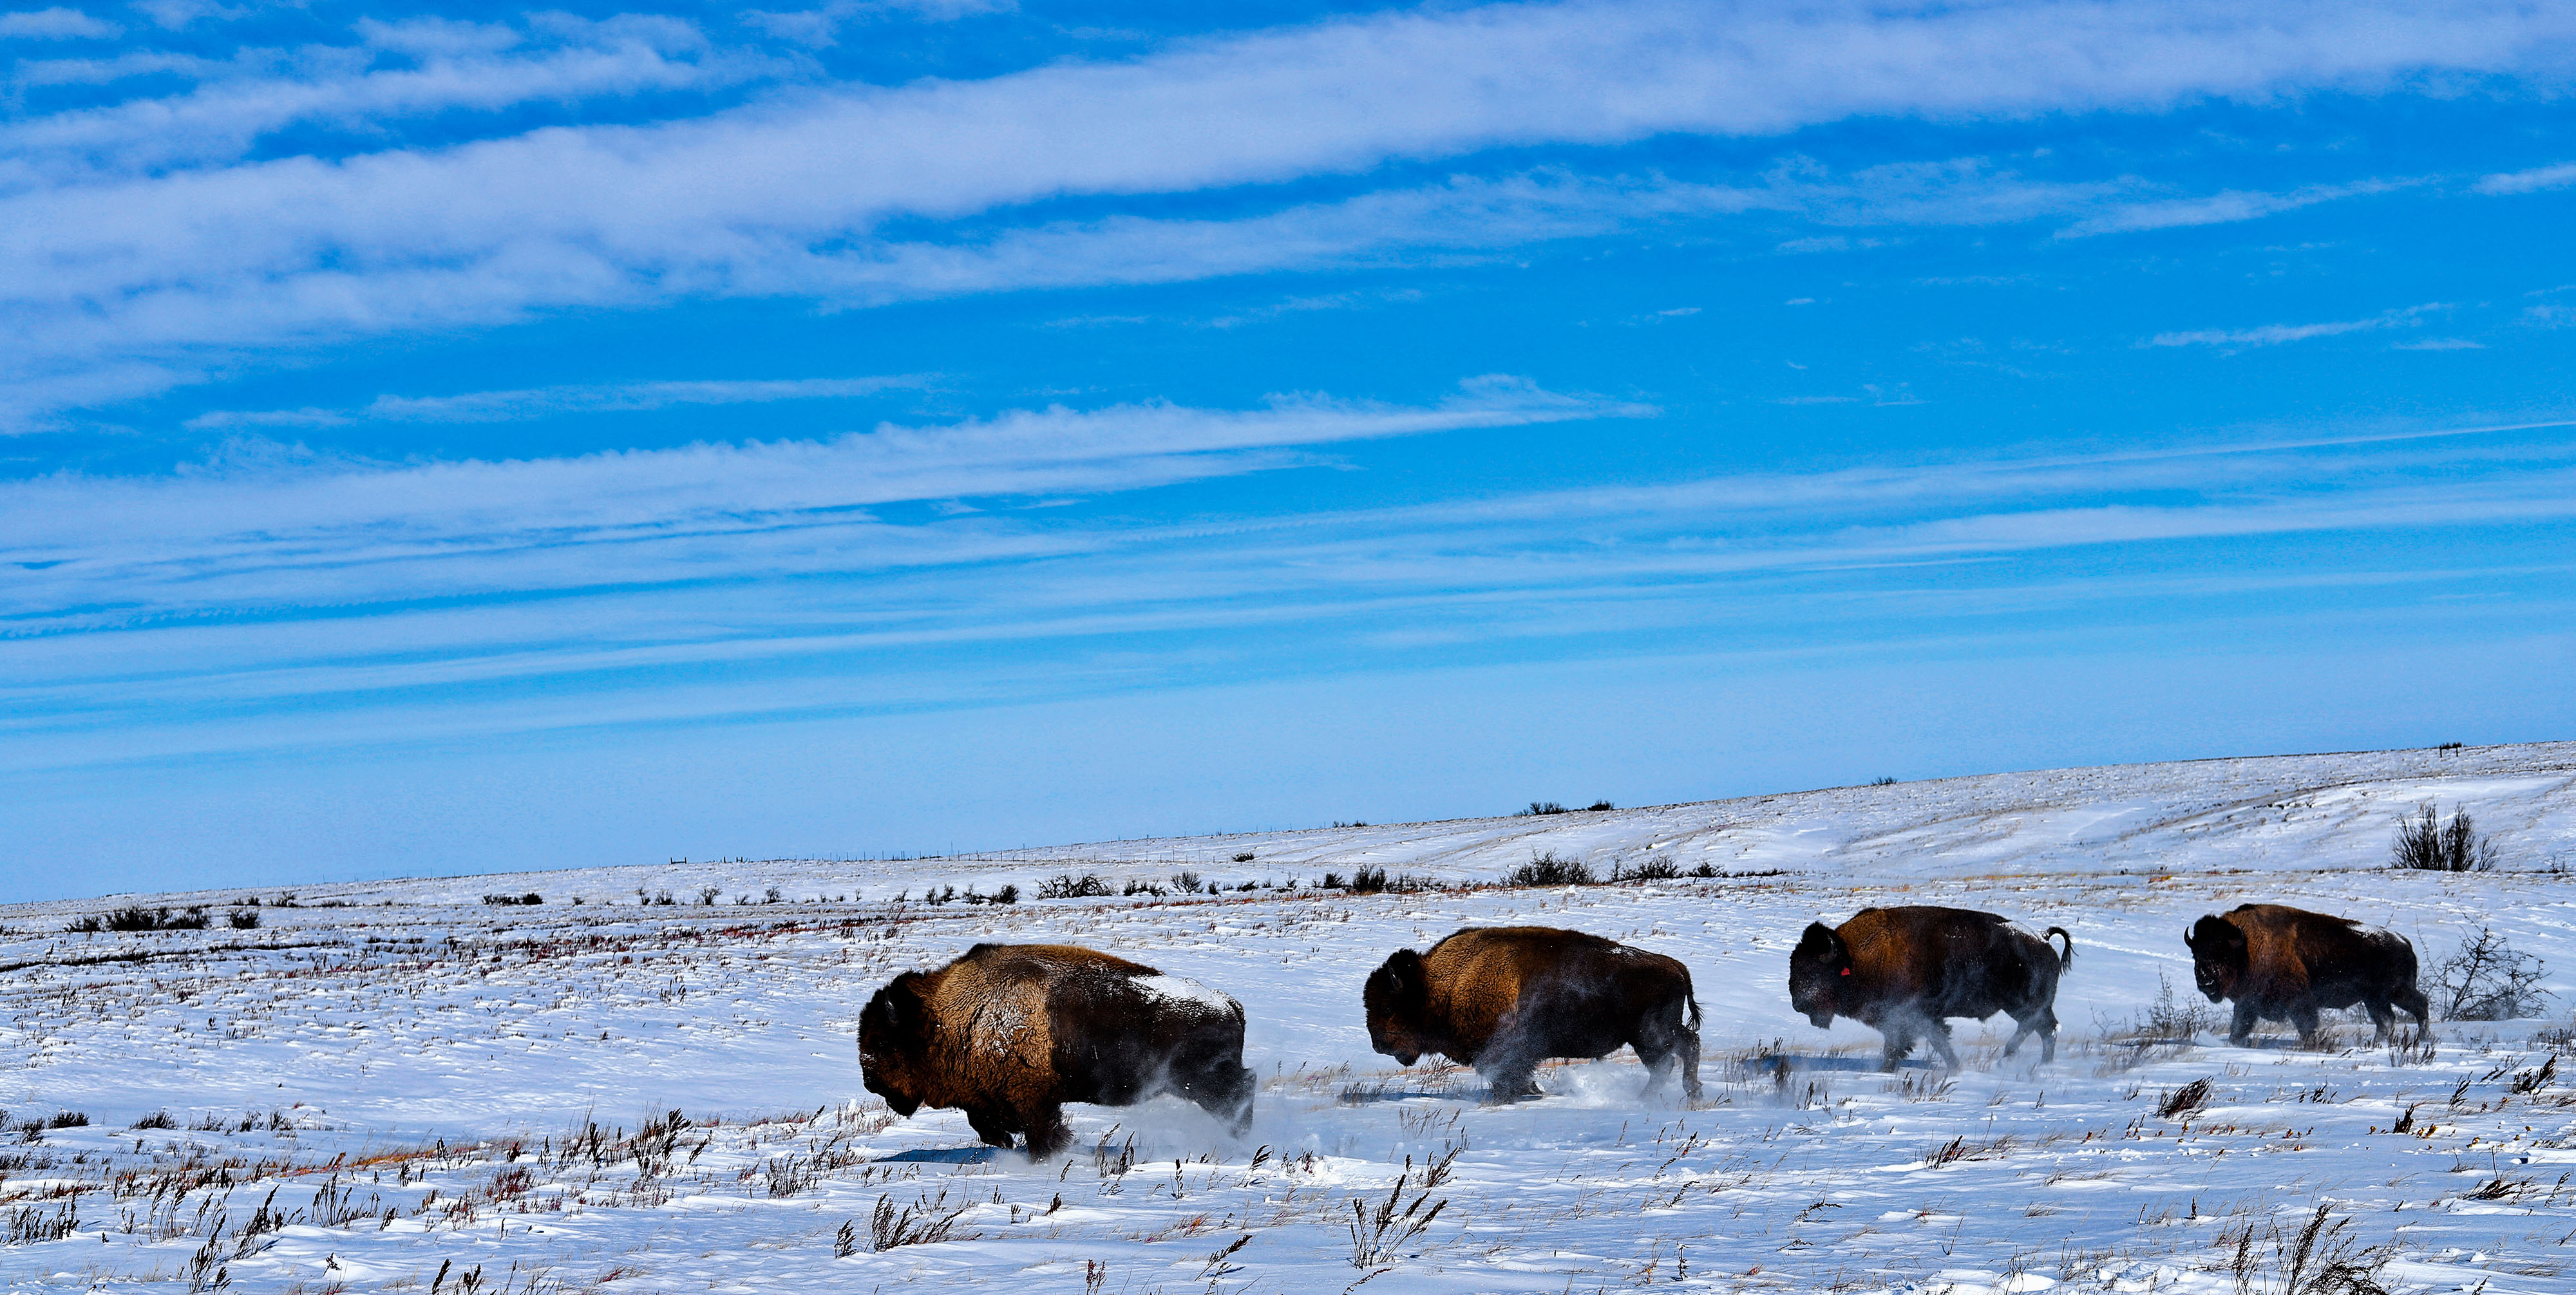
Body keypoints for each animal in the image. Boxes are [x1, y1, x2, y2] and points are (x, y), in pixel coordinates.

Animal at [858, 943, 1254, 1158]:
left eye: (882, 1041)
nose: (869, 1080)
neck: (945, 1016)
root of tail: (1231, 1005)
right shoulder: (987, 1097)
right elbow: (984, 1123)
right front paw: (1008, 1144)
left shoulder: (1032, 1098)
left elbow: (1040, 1131)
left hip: (1204, 1082)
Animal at [1363, 926, 1702, 1102]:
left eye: (1389, 1006)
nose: (1379, 1045)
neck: (1438, 986)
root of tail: (1678, 968)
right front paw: (1532, 1091)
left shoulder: (1505, 1052)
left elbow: (1507, 1075)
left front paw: (1523, 1094)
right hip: (1651, 1035)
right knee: (1675, 1056)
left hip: (1651, 1034)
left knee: (1675, 1056)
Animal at [1789, 905, 2073, 1069]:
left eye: (1813, 970)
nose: (1797, 1003)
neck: (1853, 958)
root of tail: (2043, 939)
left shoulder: (1909, 1017)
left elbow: (1912, 1043)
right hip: (2025, 1006)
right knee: (2041, 1029)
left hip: (2024, 1005)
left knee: (2043, 1029)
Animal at [2184, 904, 2430, 1046]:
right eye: (2196, 953)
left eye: (2223, 954)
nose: (2205, 980)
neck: (2247, 948)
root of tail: (2403, 942)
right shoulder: (2248, 1002)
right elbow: (2239, 1025)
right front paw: (2231, 1043)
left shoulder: (2299, 1001)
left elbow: (2306, 1024)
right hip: (2374, 999)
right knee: (2386, 1020)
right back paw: (2377, 1044)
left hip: (2395, 992)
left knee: (2419, 1006)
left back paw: (2423, 1039)